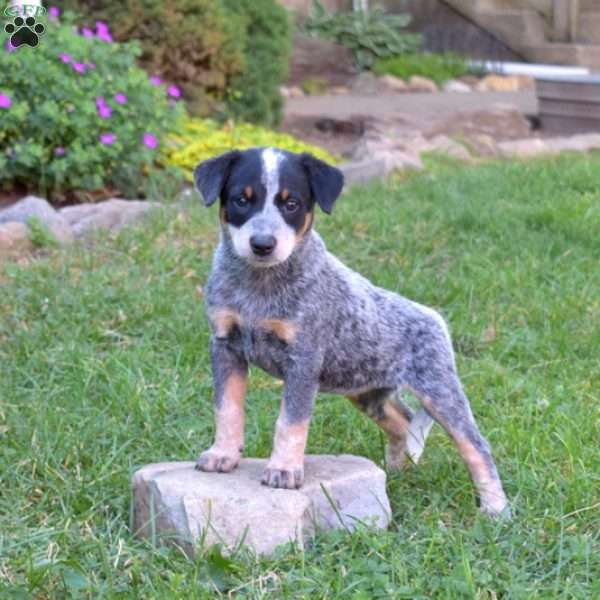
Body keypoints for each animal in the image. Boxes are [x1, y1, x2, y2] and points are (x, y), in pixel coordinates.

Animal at [195, 146, 508, 516]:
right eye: (242, 200)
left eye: (291, 203)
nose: (262, 244)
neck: (258, 285)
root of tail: (435, 318)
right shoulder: (225, 345)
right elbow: (227, 407)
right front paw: (222, 455)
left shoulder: (303, 359)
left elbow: (290, 422)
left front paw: (284, 470)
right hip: (367, 392)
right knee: (403, 422)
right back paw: (397, 473)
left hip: (439, 390)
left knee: (476, 445)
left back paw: (496, 508)